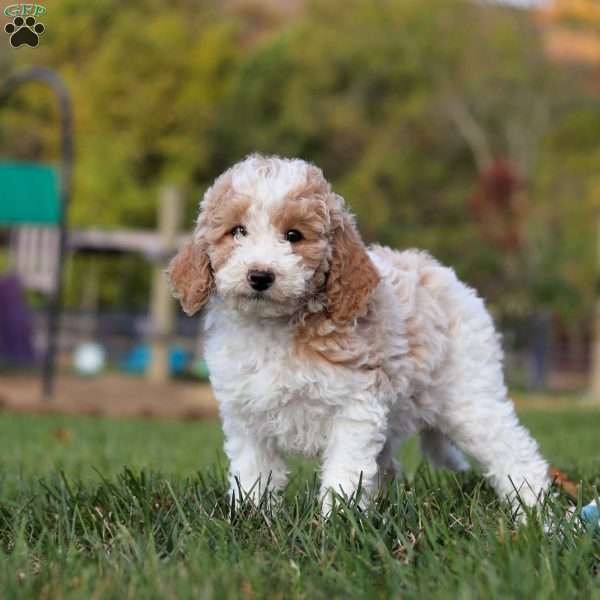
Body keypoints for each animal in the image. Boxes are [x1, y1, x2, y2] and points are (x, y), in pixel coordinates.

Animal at [166, 154, 552, 510]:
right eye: (237, 231)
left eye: (293, 235)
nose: (260, 276)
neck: (275, 328)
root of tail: (451, 278)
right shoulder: (248, 417)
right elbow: (253, 476)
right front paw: (251, 518)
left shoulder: (355, 408)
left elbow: (344, 475)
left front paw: (335, 523)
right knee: (388, 466)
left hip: (468, 396)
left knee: (517, 454)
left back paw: (541, 519)